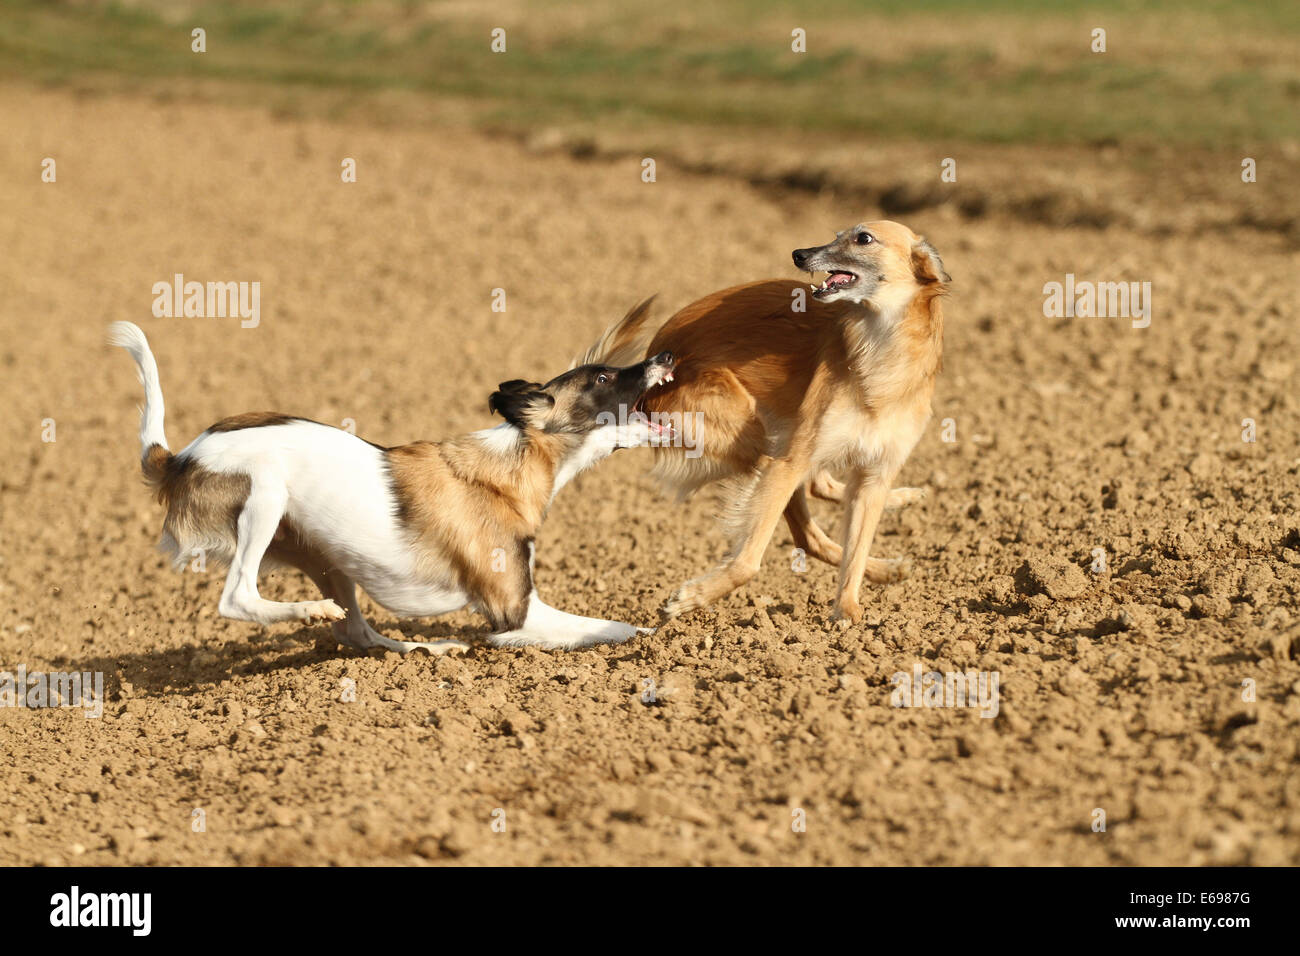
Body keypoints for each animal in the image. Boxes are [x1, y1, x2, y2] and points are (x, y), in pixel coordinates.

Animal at [110, 321, 676, 650]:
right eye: (601, 378)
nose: (667, 357)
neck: (513, 464)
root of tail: (178, 458)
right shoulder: (514, 612)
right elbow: (607, 627)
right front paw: (655, 635)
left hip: (327, 557)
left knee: (356, 631)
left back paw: (421, 649)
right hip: (266, 493)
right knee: (239, 597)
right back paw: (312, 611)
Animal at [587, 217, 946, 624]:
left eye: (864, 238)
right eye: (837, 235)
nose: (799, 254)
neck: (881, 356)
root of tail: (654, 358)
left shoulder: (875, 473)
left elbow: (855, 548)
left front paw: (847, 609)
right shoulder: (791, 460)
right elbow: (748, 561)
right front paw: (693, 597)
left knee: (819, 502)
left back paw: (894, 538)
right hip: (758, 440)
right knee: (806, 524)